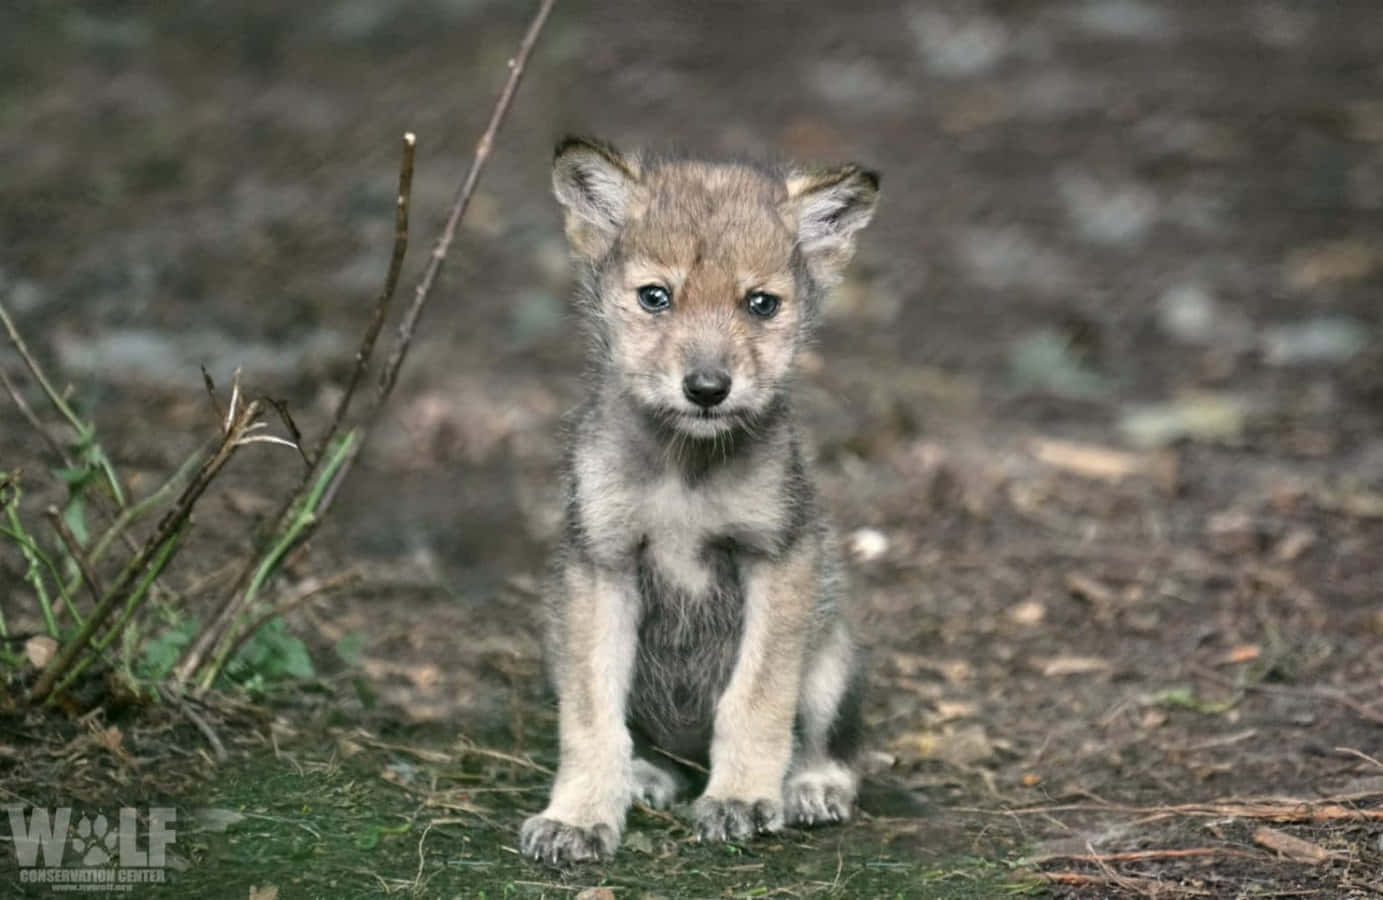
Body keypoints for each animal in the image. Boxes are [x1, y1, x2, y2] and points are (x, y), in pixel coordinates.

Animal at [520, 136, 879, 864]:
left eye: (760, 304)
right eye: (656, 297)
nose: (708, 388)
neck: (684, 472)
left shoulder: (777, 557)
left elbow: (755, 699)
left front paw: (740, 798)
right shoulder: (601, 566)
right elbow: (591, 718)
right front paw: (578, 816)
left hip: (832, 658)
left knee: (834, 744)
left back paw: (811, 785)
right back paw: (647, 775)